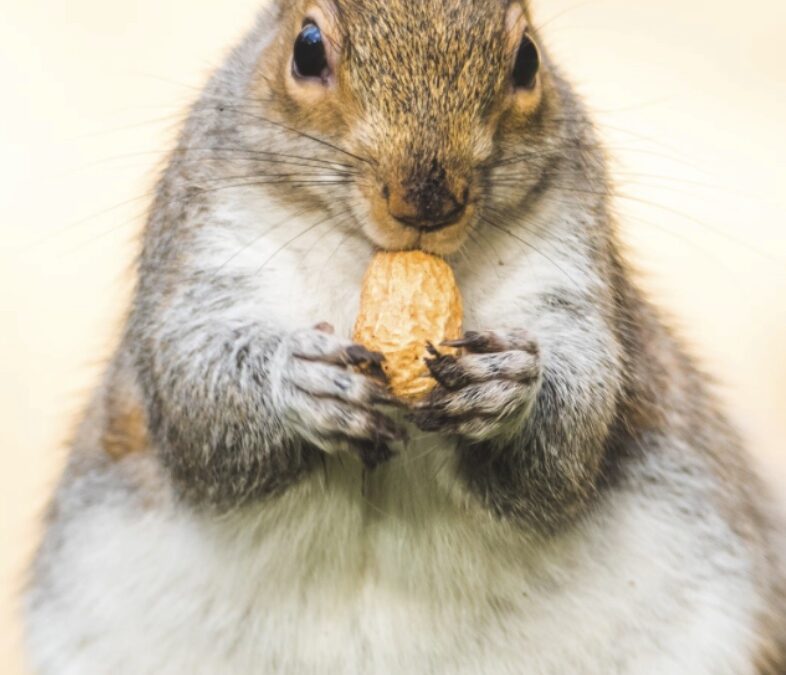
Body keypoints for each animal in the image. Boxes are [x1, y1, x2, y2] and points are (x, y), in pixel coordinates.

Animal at [24, 0, 786, 673]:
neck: (370, 256)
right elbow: (194, 404)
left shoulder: (572, 262)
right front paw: (299, 381)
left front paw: (510, 387)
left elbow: (570, 444)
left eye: (527, 59)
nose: (428, 199)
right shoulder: (200, 248)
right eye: (307, 50)